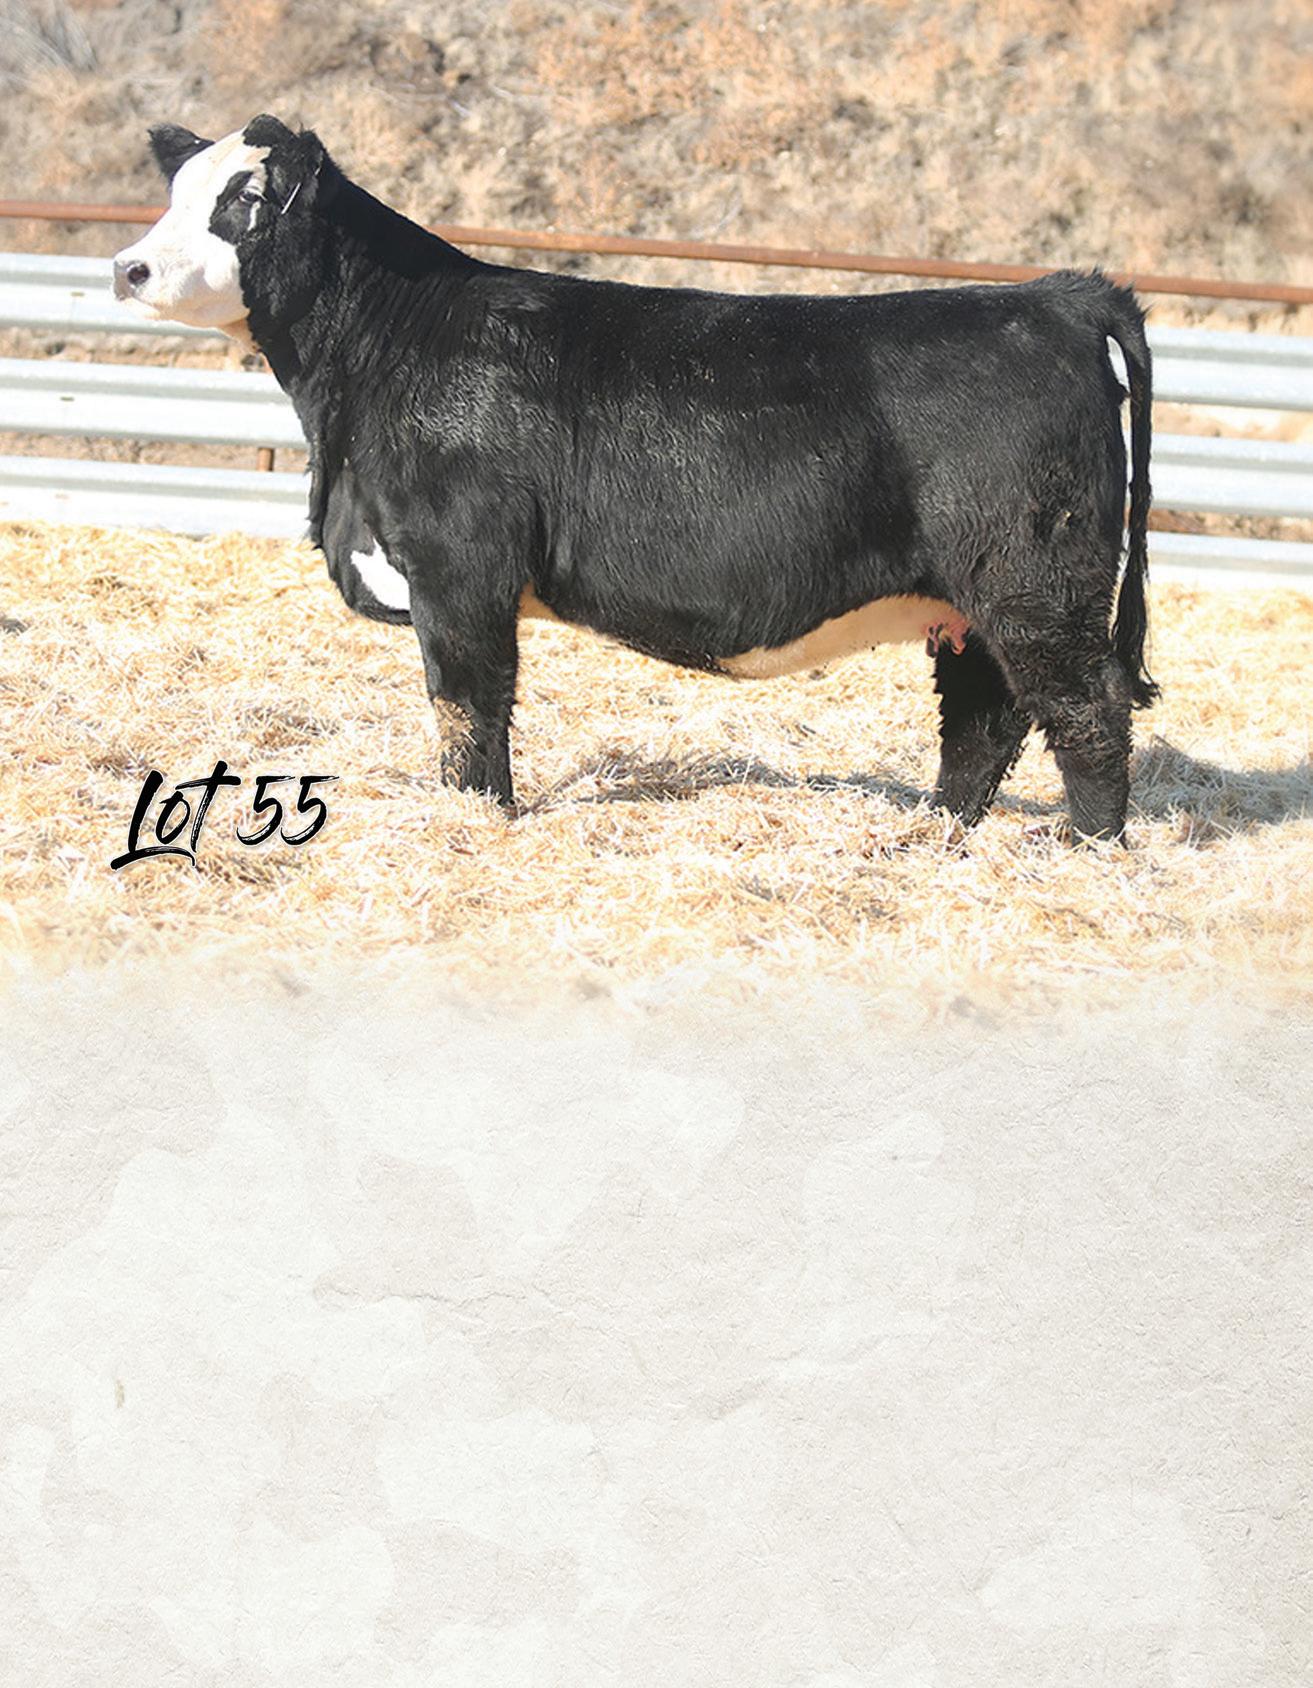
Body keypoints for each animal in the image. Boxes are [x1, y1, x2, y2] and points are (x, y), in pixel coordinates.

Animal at [113, 114, 1157, 840]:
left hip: (1037, 585)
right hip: (973, 601)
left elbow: (466, 704)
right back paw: (930, 836)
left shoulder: (458, 568)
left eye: (243, 202)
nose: (129, 268)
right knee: (984, 720)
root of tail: (1051, 296)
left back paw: (1088, 849)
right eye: (173, 193)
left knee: (1085, 712)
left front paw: (478, 817)